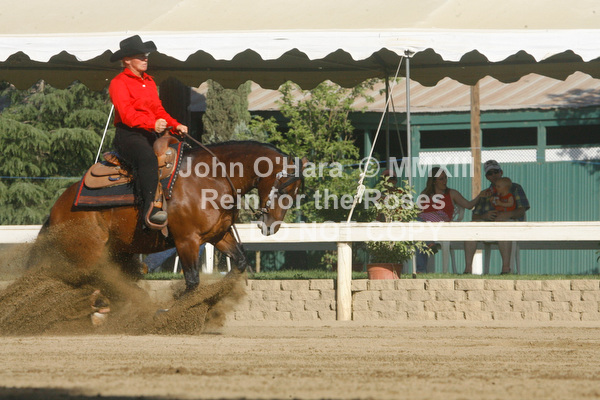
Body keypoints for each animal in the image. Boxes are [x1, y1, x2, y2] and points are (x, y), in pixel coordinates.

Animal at [43, 140, 306, 290]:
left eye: (295, 193)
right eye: (285, 188)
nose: (271, 226)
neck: (211, 177)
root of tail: (58, 207)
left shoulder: (218, 235)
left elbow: (239, 262)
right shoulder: (186, 241)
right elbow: (192, 280)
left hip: (118, 252)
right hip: (88, 255)